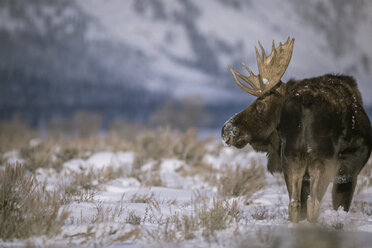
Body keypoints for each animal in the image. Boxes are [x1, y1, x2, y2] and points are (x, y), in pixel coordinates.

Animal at [222, 37, 370, 223]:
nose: (226, 129)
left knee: (294, 204)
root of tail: (303, 104)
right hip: (321, 159)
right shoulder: (349, 174)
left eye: (260, 104)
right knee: (313, 203)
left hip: (292, 157)